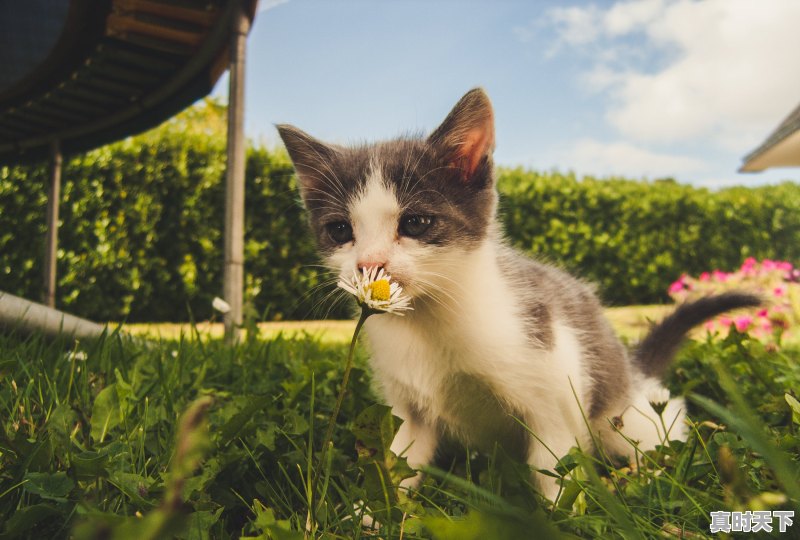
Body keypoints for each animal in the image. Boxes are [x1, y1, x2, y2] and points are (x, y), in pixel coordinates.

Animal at [278, 89, 760, 502]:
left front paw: (559, 516)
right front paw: (369, 514)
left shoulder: (555, 387)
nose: (370, 264)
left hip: (623, 412)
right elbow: (400, 461)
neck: (430, 320)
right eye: (340, 230)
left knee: (659, 426)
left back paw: (646, 474)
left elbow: (554, 470)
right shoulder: (409, 408)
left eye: (415, 223)